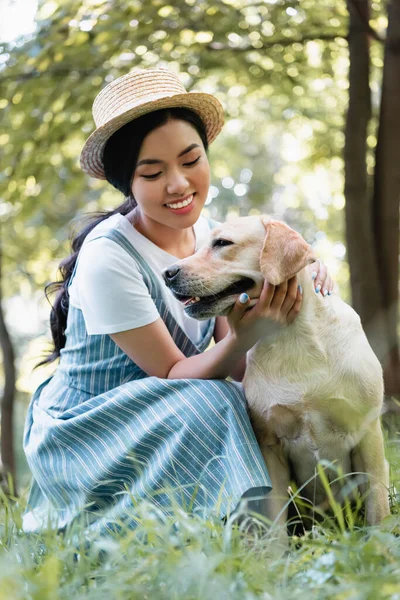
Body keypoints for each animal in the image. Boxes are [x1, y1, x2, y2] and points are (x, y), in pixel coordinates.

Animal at [161, 216, 390, 536]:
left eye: (222, 243)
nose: (167, 273)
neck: (293, 336)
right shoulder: (271, 446)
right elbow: (275, 526)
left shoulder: (368, 433)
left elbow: (377, 510)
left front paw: (379, 544)